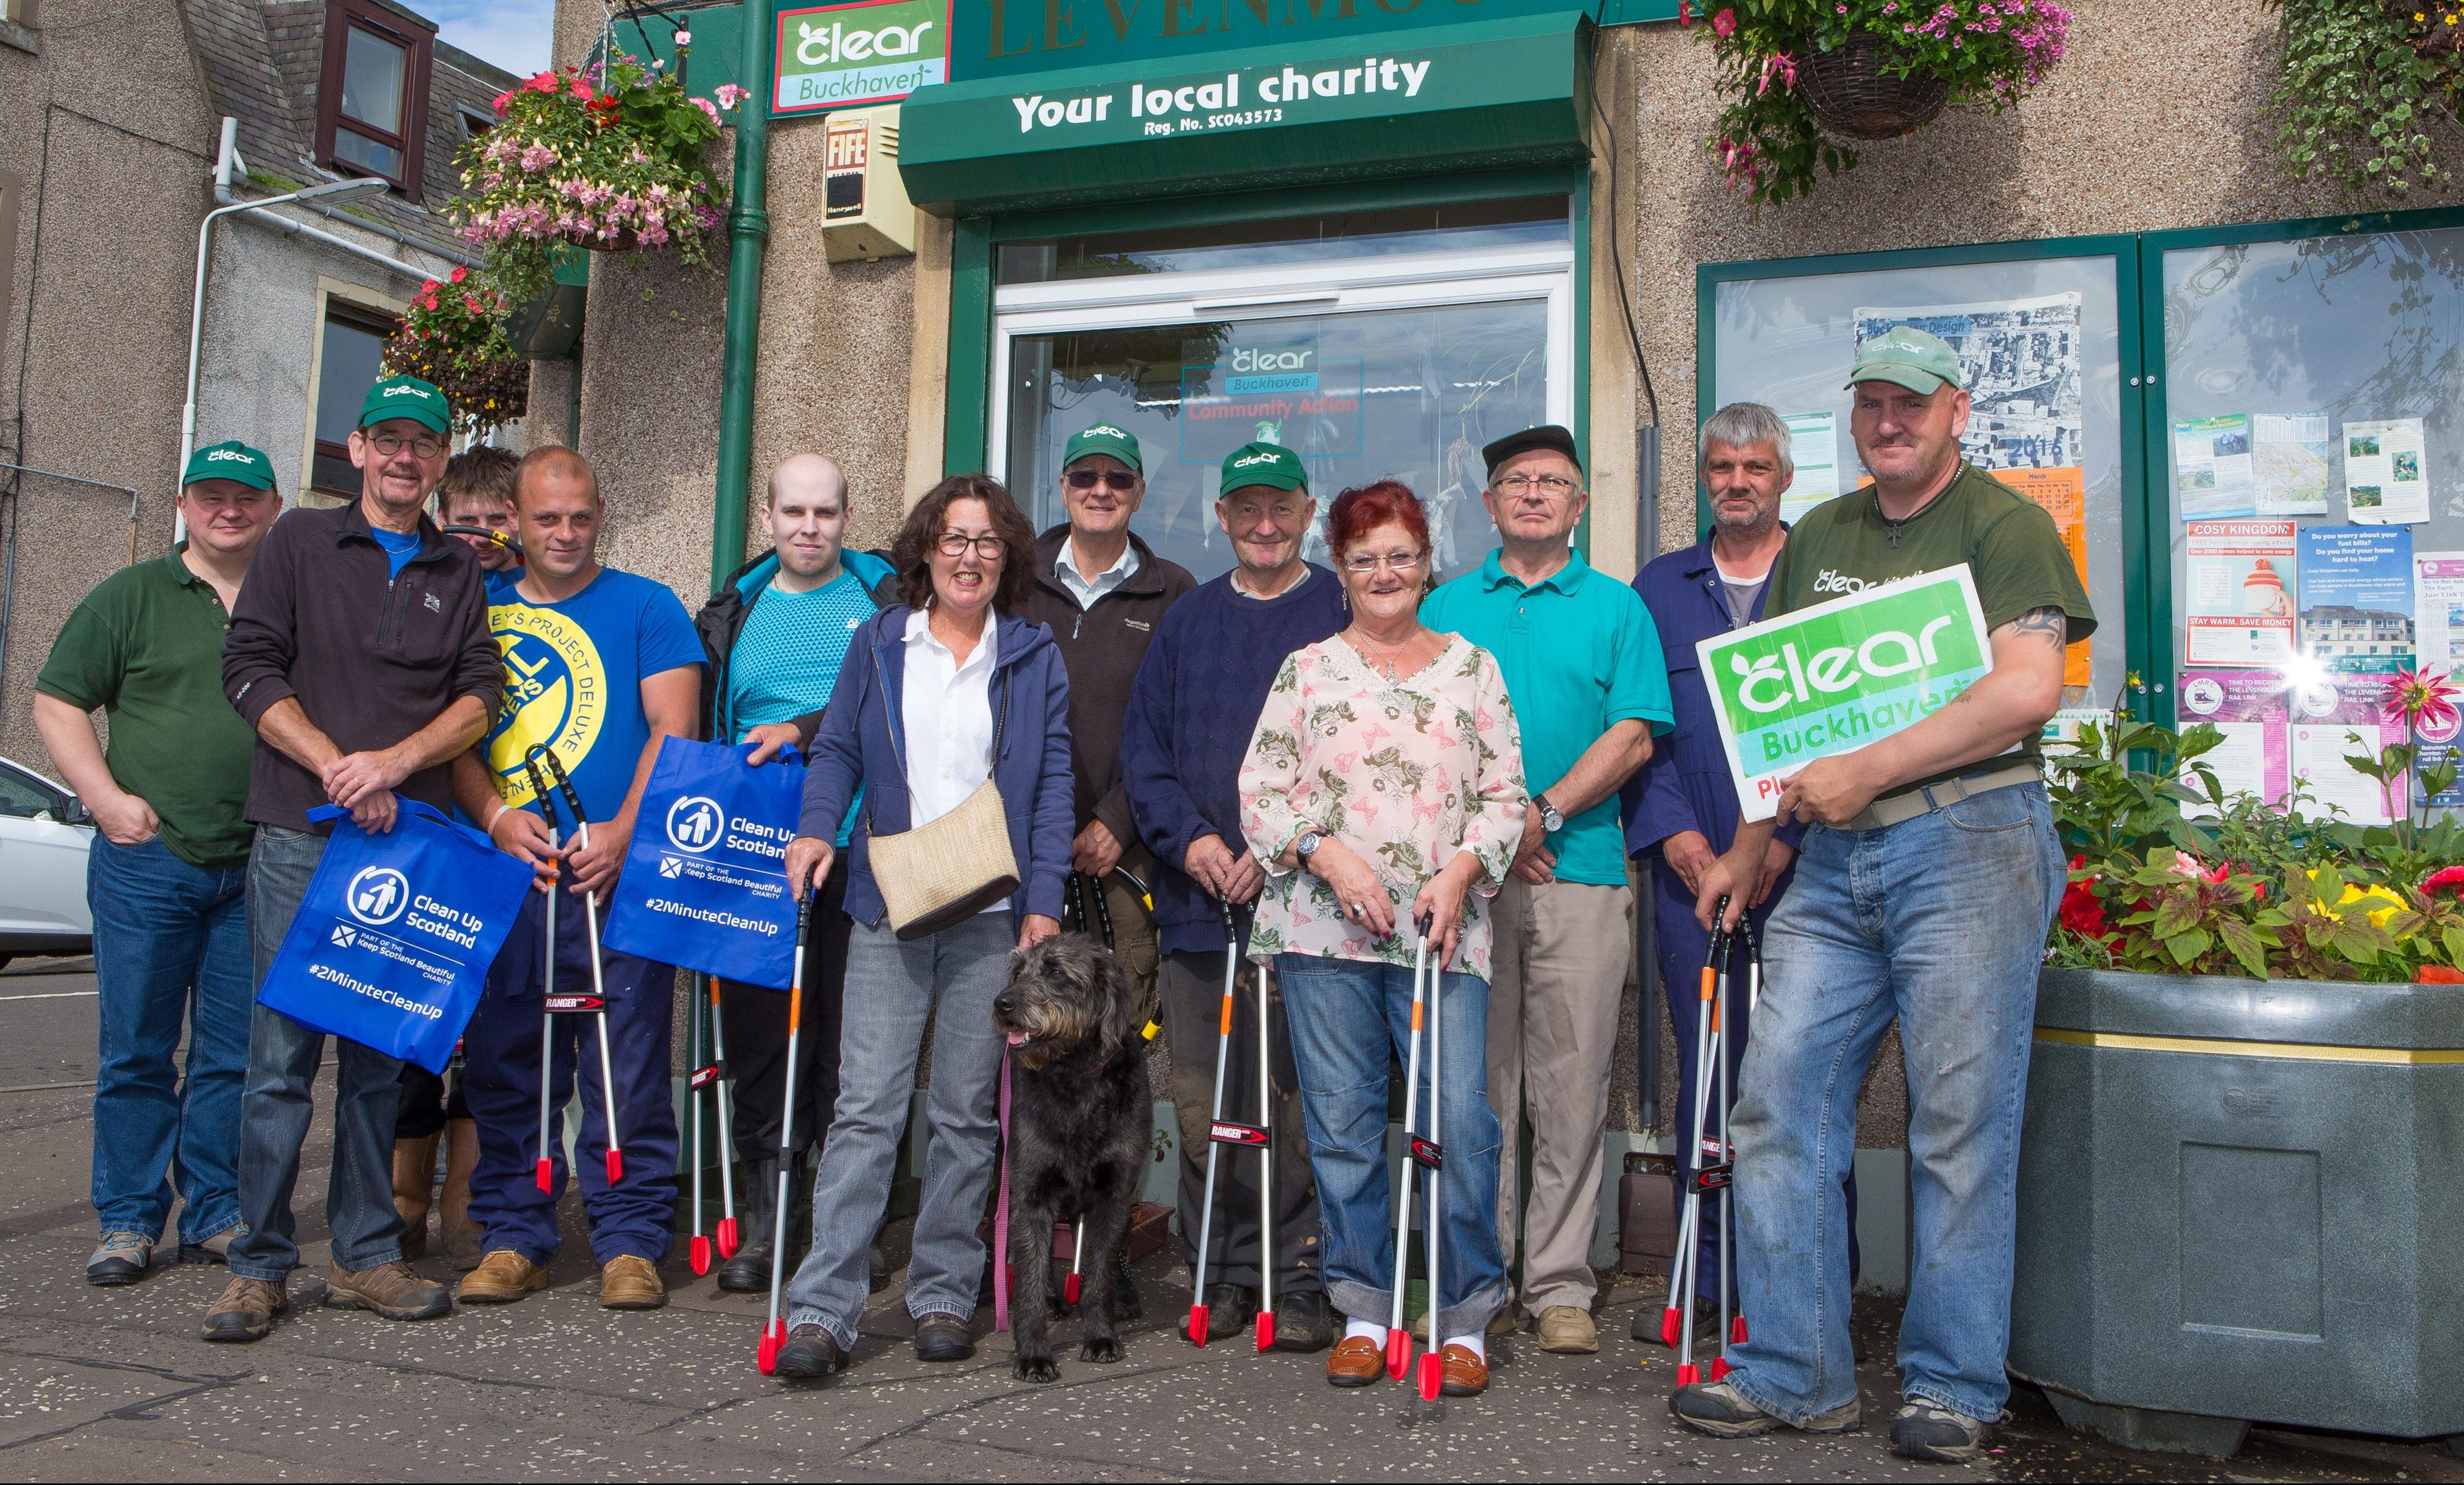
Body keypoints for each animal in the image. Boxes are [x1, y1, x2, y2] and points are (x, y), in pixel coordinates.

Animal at [995, 936, 1148, 1389]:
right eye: (1018, 972)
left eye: (1056, 972)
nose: (1002, 1003)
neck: (1075, 1076)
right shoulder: (1031, 1195)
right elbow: (1029, 1278)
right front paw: (1032, 1354)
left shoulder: (1113, 1196)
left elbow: (1098, 1275)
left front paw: (1099, 1335)